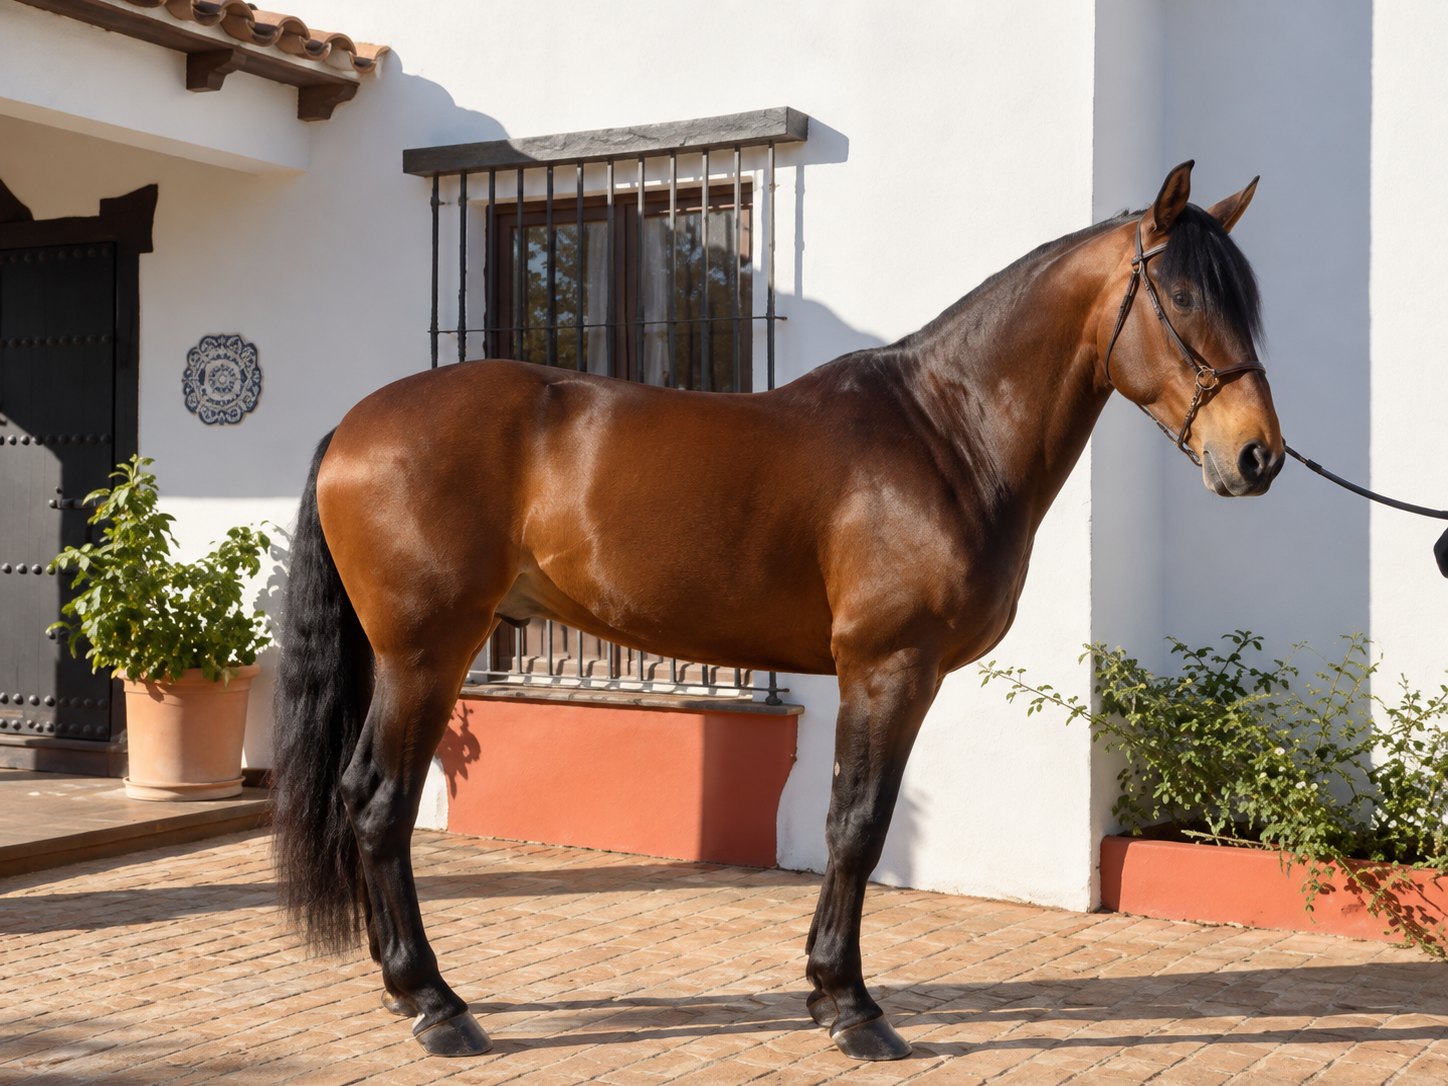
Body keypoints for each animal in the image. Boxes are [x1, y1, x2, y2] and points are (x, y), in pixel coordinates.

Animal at [271, 161, 1283, 1061]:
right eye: (1184, 296)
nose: (1258, 457)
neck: (946, 434)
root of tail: (355, 425)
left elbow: (852, 822)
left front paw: (827, 993)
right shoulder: (889, 667)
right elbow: (858, 826)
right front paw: (851, 1007)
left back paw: (403, 988)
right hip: (425, 652)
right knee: (380, 802)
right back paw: (435, 1003)